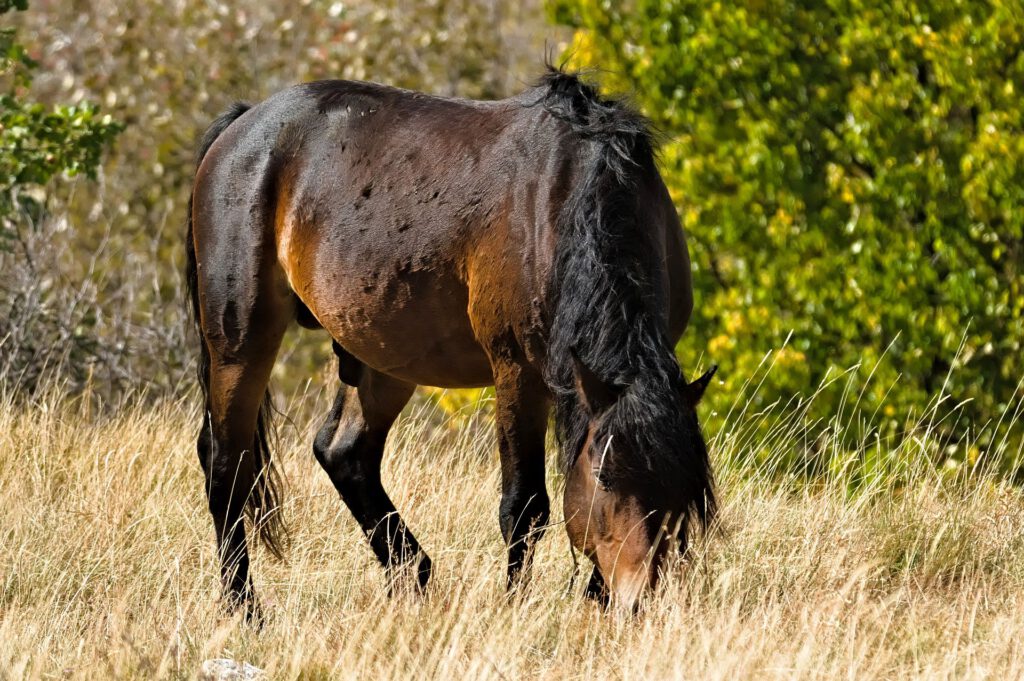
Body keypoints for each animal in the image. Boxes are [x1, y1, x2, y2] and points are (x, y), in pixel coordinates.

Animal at [185, 65, 717, 618]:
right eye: (606, 476)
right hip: (241, 341)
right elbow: (524, 506)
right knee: (225, 462)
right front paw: (515, 606)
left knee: (343, 453)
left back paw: (413, 576)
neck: (567, 198)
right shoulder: (518, 372)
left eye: (685, 488)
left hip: (383, 357)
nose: (638, 601)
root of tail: (243, 124)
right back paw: (244, 605)